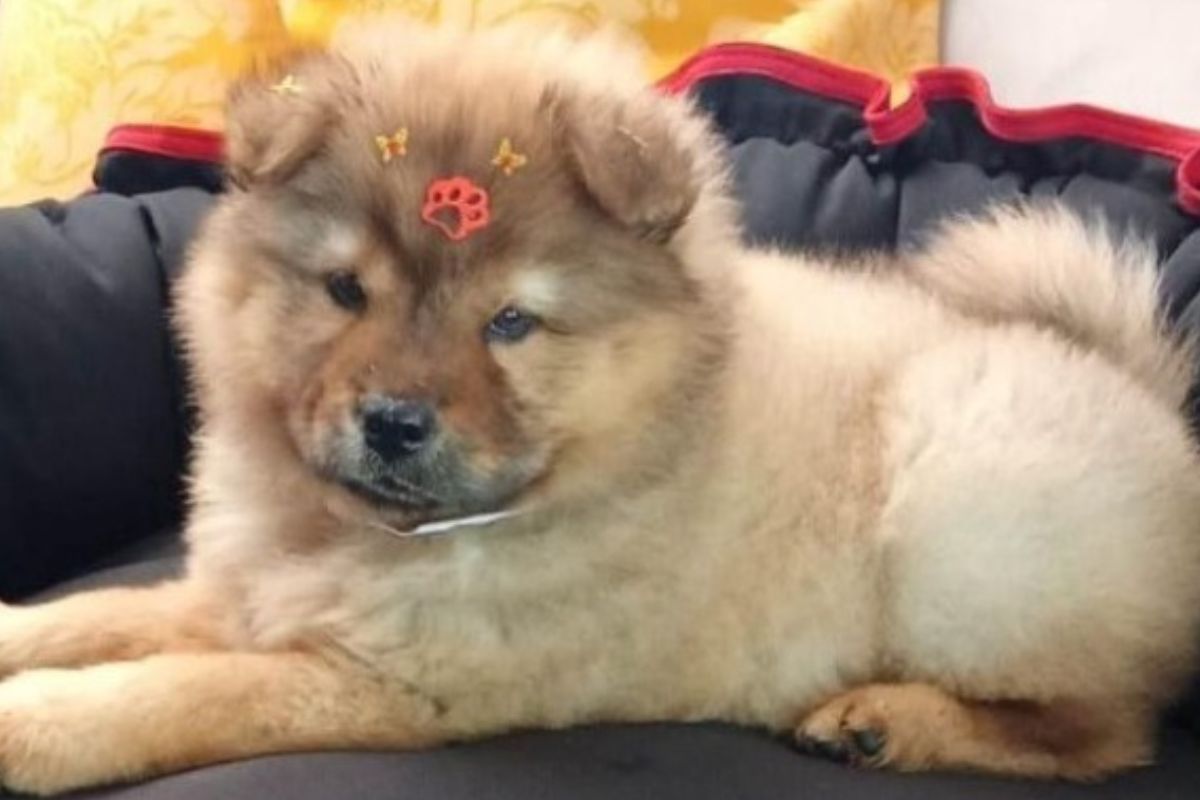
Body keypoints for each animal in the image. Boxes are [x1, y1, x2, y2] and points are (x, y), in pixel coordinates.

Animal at [2, 23, 1200, 796]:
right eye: (346, 290)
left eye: (510, 323)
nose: (393, 419)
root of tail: (1142, 391)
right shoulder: (237, 593)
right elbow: (104, 616)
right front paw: (27, 637)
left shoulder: (395, 683)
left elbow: (176, 692)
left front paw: (36, 726)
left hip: (967, 541)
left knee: (1099, 729)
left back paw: (884, 722)